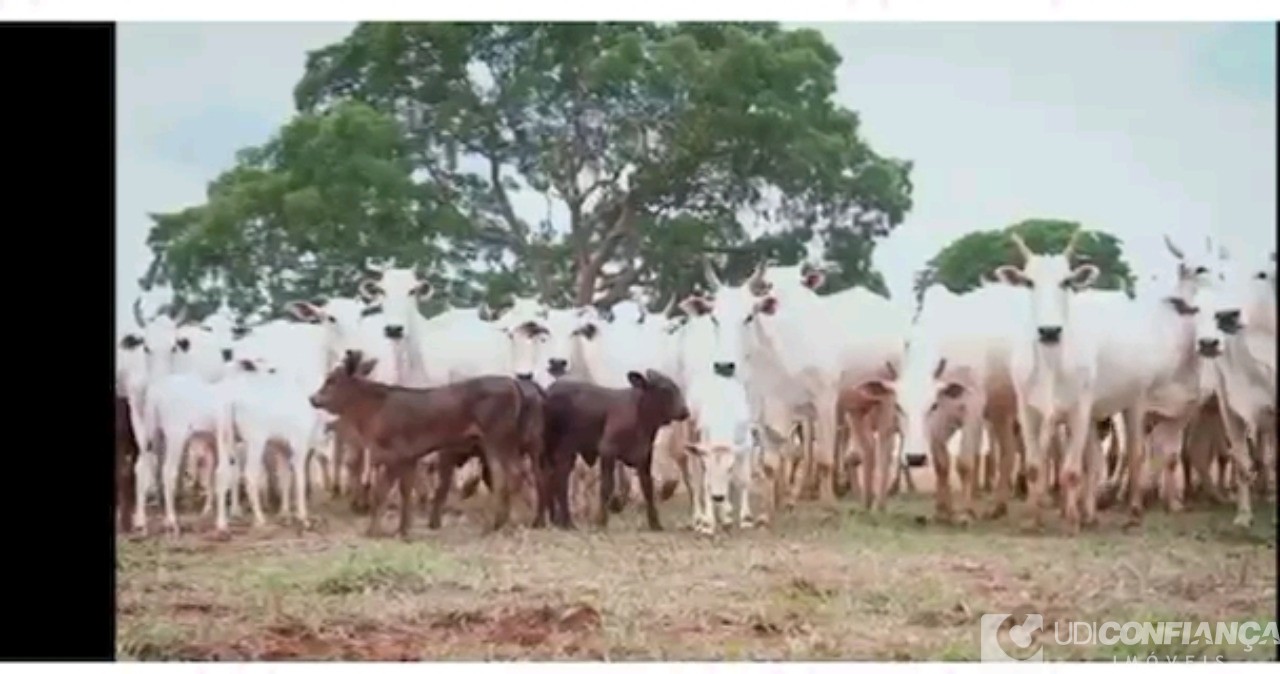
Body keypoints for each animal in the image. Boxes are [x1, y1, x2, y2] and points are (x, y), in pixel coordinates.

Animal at [314, 352, 545, 537]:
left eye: (332, 380)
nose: (312, 398)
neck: (375, 408)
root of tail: (513, 384)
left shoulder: (394, 456)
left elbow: (381, 493)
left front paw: (373, 531)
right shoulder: (408, 458)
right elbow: (406, 493)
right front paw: (403, 530)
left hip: (499, 440)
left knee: (512, 475)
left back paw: (496, 524)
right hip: (499, 444)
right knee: (506, 477)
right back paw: (500, 522)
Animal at [540, 368, 691, 532]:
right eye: (664, 389)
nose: (685, 411)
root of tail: (550, 389)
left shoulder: (644, 456)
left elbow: (647, 487)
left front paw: (655, 523)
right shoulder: (608, 451)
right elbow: (607, 486)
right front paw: (600, 521)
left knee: (554, 479)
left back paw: (559, 521)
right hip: (562, 449)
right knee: (559, 481)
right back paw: (567, 522)